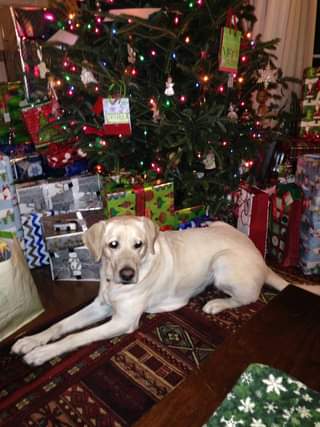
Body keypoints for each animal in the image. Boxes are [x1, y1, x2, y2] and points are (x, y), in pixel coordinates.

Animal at [12, 216, 320, 366]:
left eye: (138, 245)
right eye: (113, 245)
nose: (127, 275)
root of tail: (261, 257)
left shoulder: (123, 321)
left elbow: (76, 336)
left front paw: (42, 354)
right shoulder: (101, 305)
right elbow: (62, 325)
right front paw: (31, 341)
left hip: (222, 262)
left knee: (250, 297)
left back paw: (217, 304)